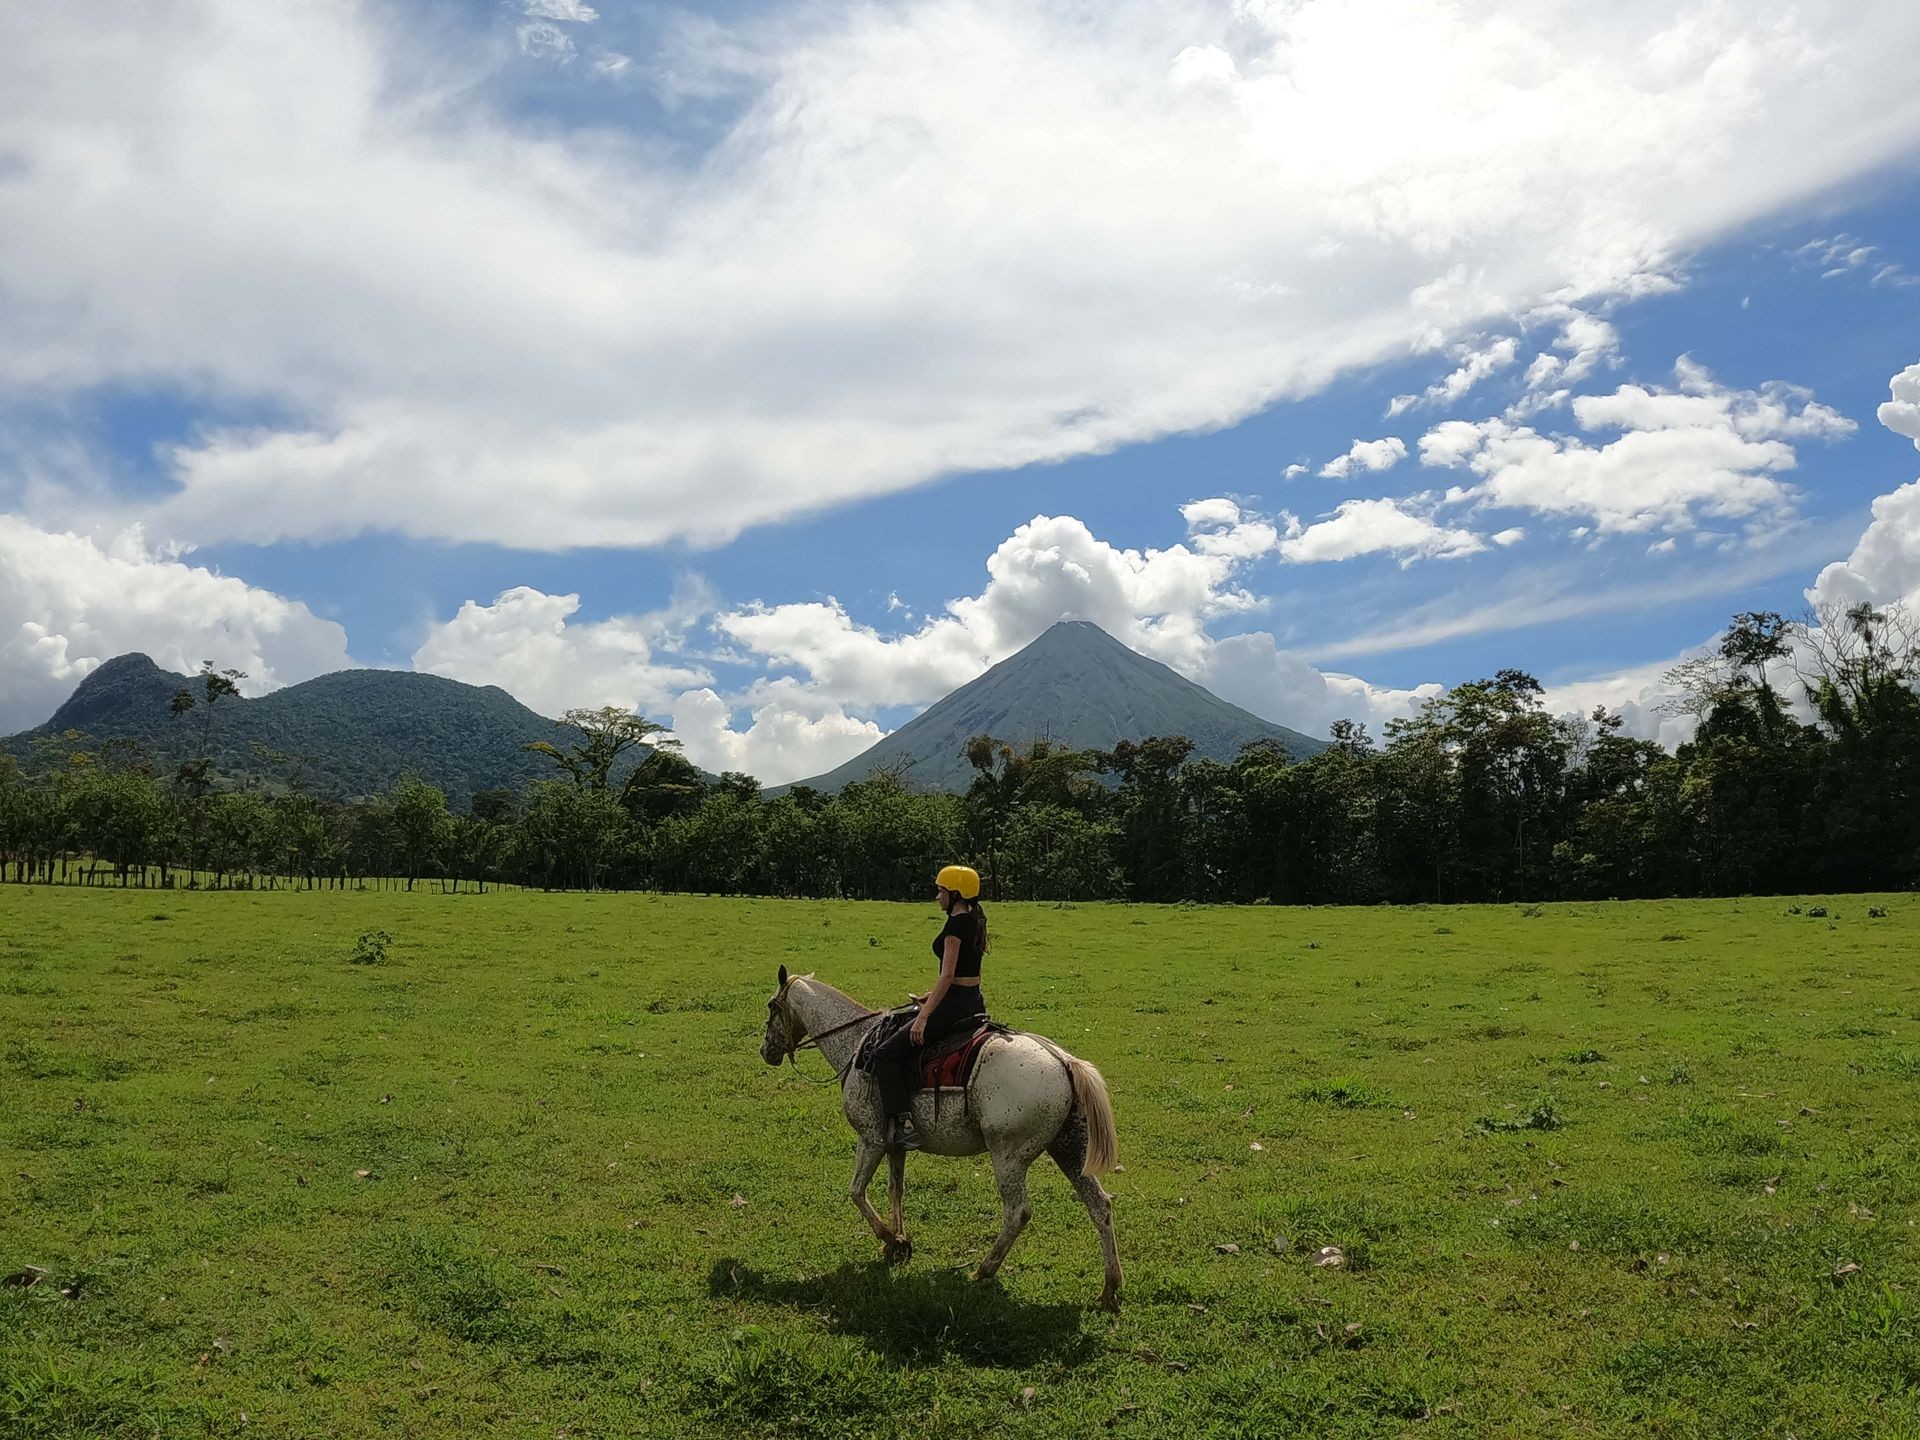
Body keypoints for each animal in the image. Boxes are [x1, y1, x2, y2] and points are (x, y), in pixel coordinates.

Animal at [760, 963, 1121, 1313]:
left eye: (772, 1006)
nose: (766, 1051)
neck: (856, 1042)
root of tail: (1063, 1061)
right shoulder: (894, 1144)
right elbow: (896, 1189)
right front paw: (899, 1242)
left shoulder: (871, 1138)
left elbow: (857, 1192)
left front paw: (891, 1239)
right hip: (1069, 1147)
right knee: (1099, 1205)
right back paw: (1110, 1289)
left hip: (1009, 1156)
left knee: (1017, 1212)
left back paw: (985, 1269)